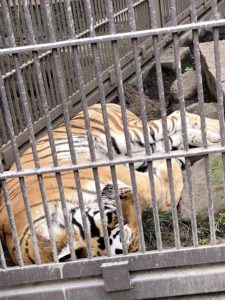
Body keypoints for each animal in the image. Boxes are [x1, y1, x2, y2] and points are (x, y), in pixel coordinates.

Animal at [0, 103, 221, 264]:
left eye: (114, 219)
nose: (125, 192)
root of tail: (98, 103)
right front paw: (169, 162)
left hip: (130, 135)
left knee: (175, 117)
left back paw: (216, 130)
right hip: (137, 149)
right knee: (172, 136)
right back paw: (205, 141)